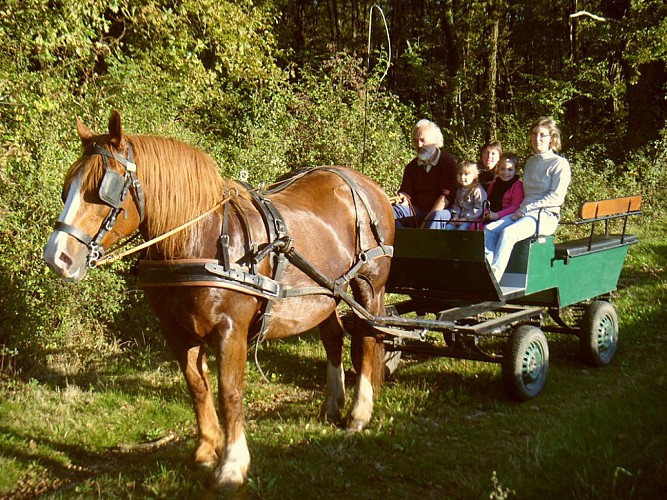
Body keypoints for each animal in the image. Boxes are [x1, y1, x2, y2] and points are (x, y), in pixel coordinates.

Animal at [43, 110, 396, 492]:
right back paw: (332, 405)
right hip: (325, 292)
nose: (57, 257)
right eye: (67, 188)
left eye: (101, 190)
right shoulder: (176, 331)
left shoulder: (230, 331)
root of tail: (365, 183)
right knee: (333, 337)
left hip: (369, 285)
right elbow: (197, 387)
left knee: (368, 338)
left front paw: (232, 465)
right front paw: (205, 451)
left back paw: (359, 413)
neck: (201, 240)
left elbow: (230, 393)